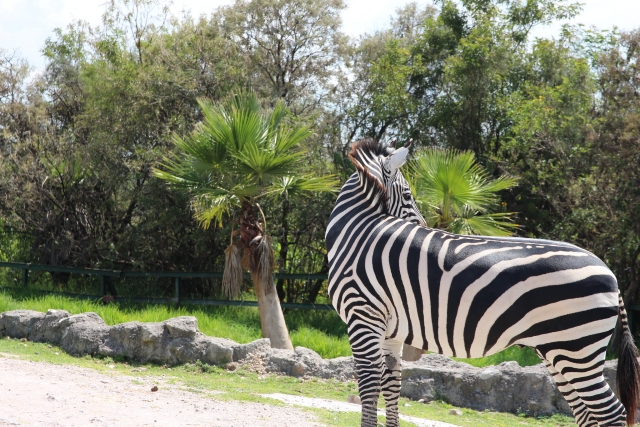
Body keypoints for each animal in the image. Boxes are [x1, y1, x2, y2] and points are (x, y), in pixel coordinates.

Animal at [325, 138, 640, 427]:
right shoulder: (390, 329)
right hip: (557, 350)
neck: (359, 232)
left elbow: (368, 386)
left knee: (611, 412)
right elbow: (391, 386)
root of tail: (609, 270)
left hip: (576, 349)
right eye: (407, 194)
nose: (424, 226)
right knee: (586, 412)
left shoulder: (363, 315)